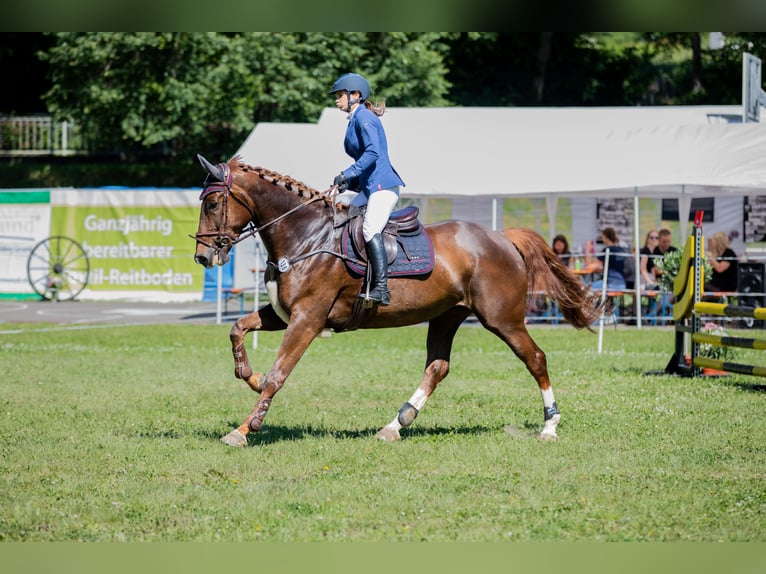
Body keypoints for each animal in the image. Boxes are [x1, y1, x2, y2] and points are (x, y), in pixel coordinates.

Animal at [190, 156, 608, 450]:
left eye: (213, 203)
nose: (203, 257)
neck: (306, 235)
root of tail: (502, 236)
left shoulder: (307, 318)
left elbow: (279, 374)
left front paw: (244, 429)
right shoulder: (284, 314)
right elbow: (237, 329)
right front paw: (250, 375)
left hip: (502, 319)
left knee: (535, 358)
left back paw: (550, 425)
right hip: (447, 316)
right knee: (437, 367)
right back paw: (396, 424)